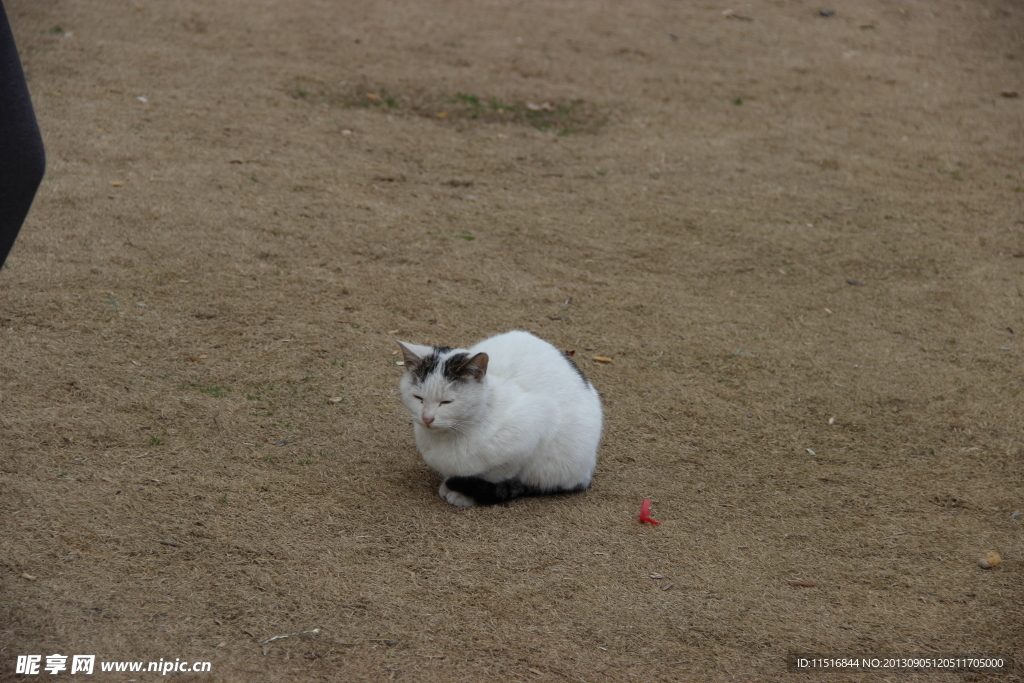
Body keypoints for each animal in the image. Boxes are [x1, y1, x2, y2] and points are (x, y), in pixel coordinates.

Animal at [391, 331, 598, 507]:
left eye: (446, 402)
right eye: (418, 398)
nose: (427, 418)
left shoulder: (537, 422)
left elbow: (495, 474)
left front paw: (462, 492)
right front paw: (451, 483)